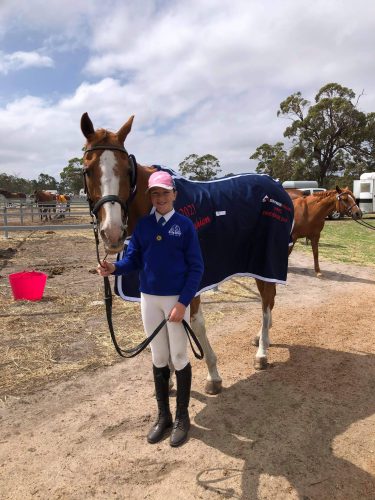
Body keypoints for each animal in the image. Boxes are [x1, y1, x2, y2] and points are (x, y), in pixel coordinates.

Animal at [81, 113, 296, 394]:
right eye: (87, 170)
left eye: (127, 170)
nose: (113, 233)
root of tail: (277, 185)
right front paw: (169, 377)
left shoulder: (192, 284)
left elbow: (195, 325)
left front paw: (213, 376)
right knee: (269, 300)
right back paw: (261, 338)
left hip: (265, 261)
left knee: (266, 302)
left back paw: (262, 352)